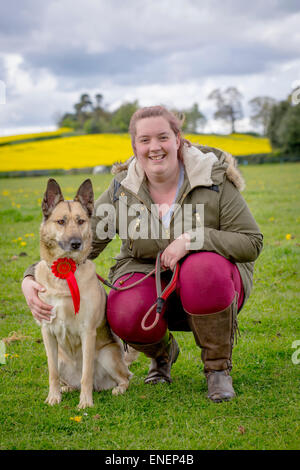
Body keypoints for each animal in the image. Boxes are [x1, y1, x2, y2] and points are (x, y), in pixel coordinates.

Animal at [34, 178, 131, 410]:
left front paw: (85, 403)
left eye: (80, 221)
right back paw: (66, 388)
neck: (64, 276)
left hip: (106, 355)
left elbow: (86, 373)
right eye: (61, 221)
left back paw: (116, 389)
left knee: (124, 377)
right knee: (66, 377)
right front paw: (53, 397)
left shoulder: (88, 332)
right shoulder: (47, 332)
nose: (76, 243)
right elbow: (52, 372)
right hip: (62, 358)